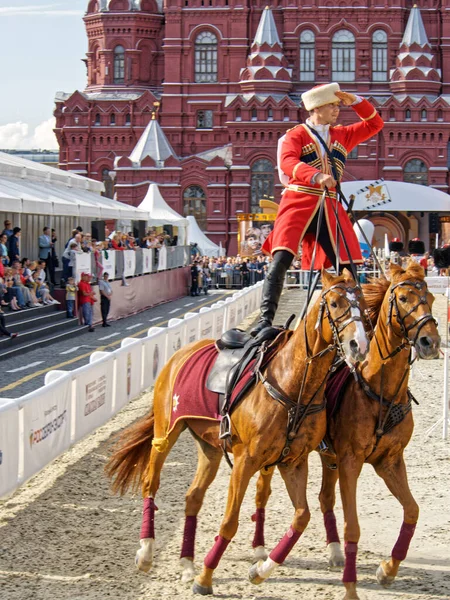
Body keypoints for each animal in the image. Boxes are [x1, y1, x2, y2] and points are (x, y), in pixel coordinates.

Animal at [108, 270, 370, 592]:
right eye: (334, 303)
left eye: (362, 301)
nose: (359, 345)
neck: (292, 384)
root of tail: (179, 354)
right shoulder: (246, 460)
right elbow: (230, 521)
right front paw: (206, 577)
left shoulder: (292, 461)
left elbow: (301, 516)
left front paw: (260, 570)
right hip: (166, 432)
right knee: (150, 481)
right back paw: (146, 552)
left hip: (209, 448)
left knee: (193, 497)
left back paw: (186, 563)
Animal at [316, 262, 440, 600]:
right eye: (404, 298)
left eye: (431, 299)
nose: (431, 342)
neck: (379, 390)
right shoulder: (351, 462)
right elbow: (353, 526)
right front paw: (350, 588)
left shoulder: (390, 462)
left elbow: (412, 510)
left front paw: (388, 570)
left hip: (329, 459)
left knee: (324, 497)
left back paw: (334, 552)